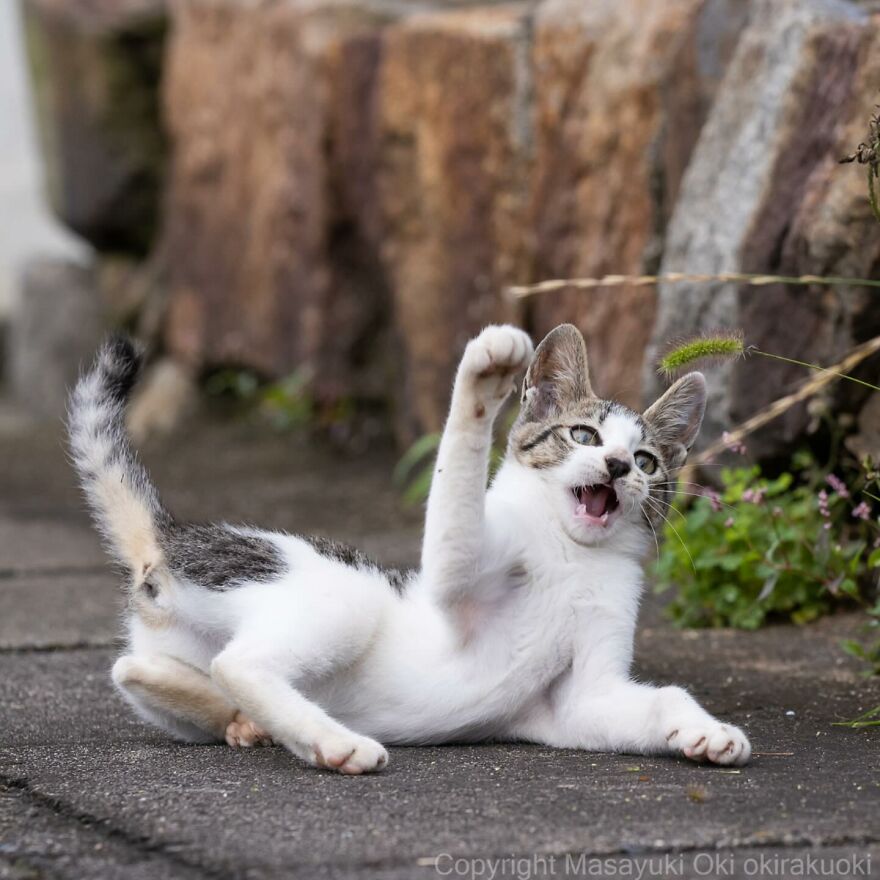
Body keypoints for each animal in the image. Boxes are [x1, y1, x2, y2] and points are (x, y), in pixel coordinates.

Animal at [67, 324, 748, 776]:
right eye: (583, 435)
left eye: (646, 461)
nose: (615, 466)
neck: (572, 554)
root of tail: (166, 536)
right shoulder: (456, 567)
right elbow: (457, 476)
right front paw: (484, 375)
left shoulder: (579, 701)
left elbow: (658, 696)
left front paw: (706, 731)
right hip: (348, 596)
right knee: (237, 664)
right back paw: (335, 743)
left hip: (176, 649)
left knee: (140, 669)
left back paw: (246, 724)